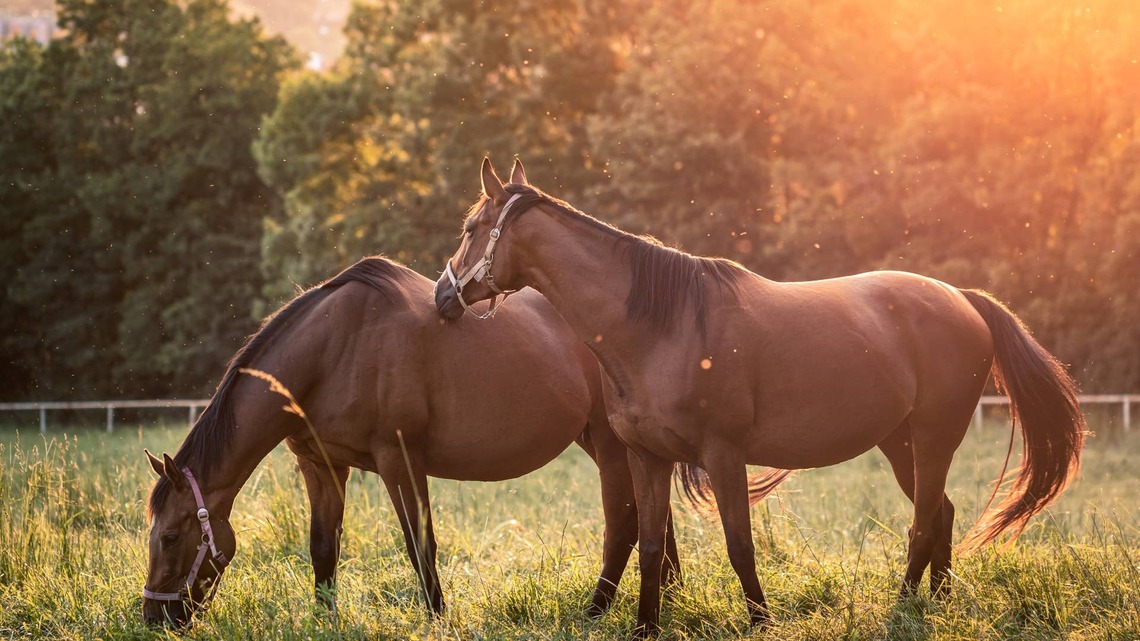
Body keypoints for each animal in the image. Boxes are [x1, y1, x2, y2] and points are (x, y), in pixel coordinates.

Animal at [142, 256, 682, 626]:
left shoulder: (399, 460)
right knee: (657, 519)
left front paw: (438, 617)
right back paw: (671, 596)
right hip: (612, 444)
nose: (154, 617)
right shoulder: (322, 466)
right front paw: (324, 618)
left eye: (170, 536)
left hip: (611, 447)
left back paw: (599, 612)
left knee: (625, 526)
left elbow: (421, 544)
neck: (334, 349)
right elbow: (323, 547)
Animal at [434, 158, 1086, 636]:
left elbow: (739, 545)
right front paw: (646, 628)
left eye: (469, 230)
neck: (661, 327)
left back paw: (904, 608)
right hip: (901, 444)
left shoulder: (723, 456)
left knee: (923, 524)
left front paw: (761, 621)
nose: (442, 296)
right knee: (941, 514)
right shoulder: (647, 458)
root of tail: (961, 299)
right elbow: (649, 546)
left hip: (932, 440)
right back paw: (937, 603)